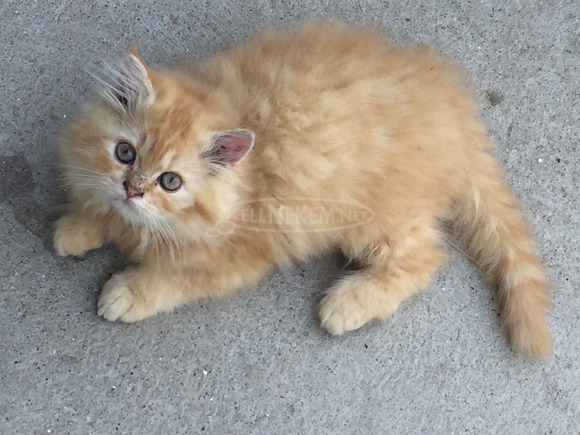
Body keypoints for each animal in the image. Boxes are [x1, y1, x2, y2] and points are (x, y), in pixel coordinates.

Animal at [54, 22, 552, 359]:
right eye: (125, 154)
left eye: (170, 181)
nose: (132, 190)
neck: (245, 178)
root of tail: (458, 116)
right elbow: (102, 210)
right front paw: (80, 226)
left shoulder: (235, 257)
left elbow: (172, 277)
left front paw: (128, 291)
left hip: (372, 220)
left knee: (423, 260)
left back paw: (349, 303)